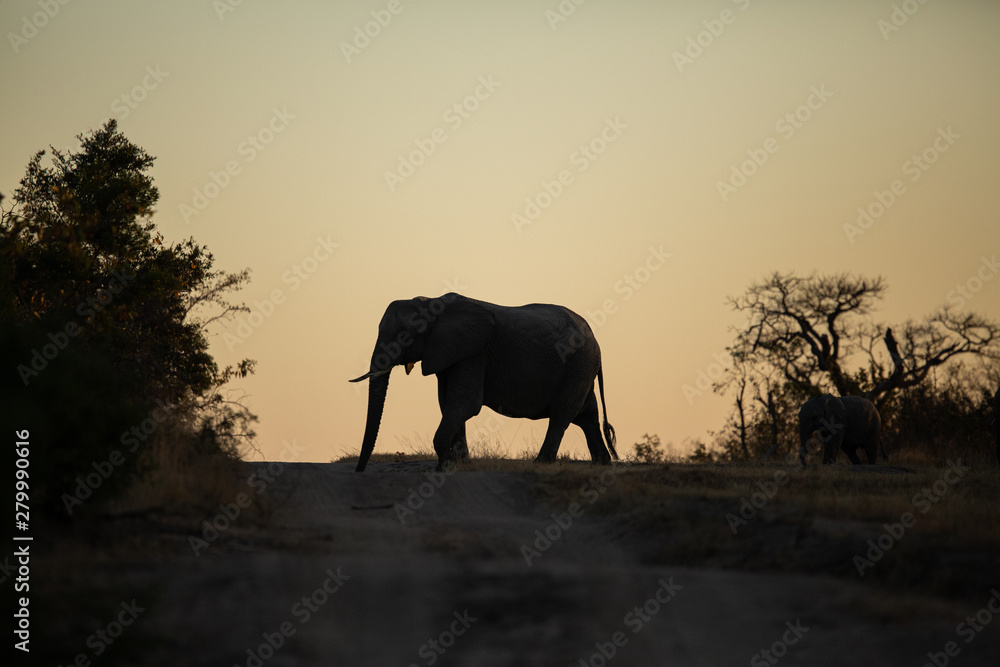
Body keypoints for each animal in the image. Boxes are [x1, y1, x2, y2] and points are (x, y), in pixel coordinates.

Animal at [349, 293, 618, 472]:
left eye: (404, 336)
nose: (359, 470)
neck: (430, 302)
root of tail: (593, 335)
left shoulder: (472, 353)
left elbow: (465, 404)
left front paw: (445, 465)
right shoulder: (448, 353)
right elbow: (448, 403)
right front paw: (461, 462)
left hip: (578, 366)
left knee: (563, 414)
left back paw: (542, 462)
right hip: (581, 368)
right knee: (587, 415)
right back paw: (602, 463)